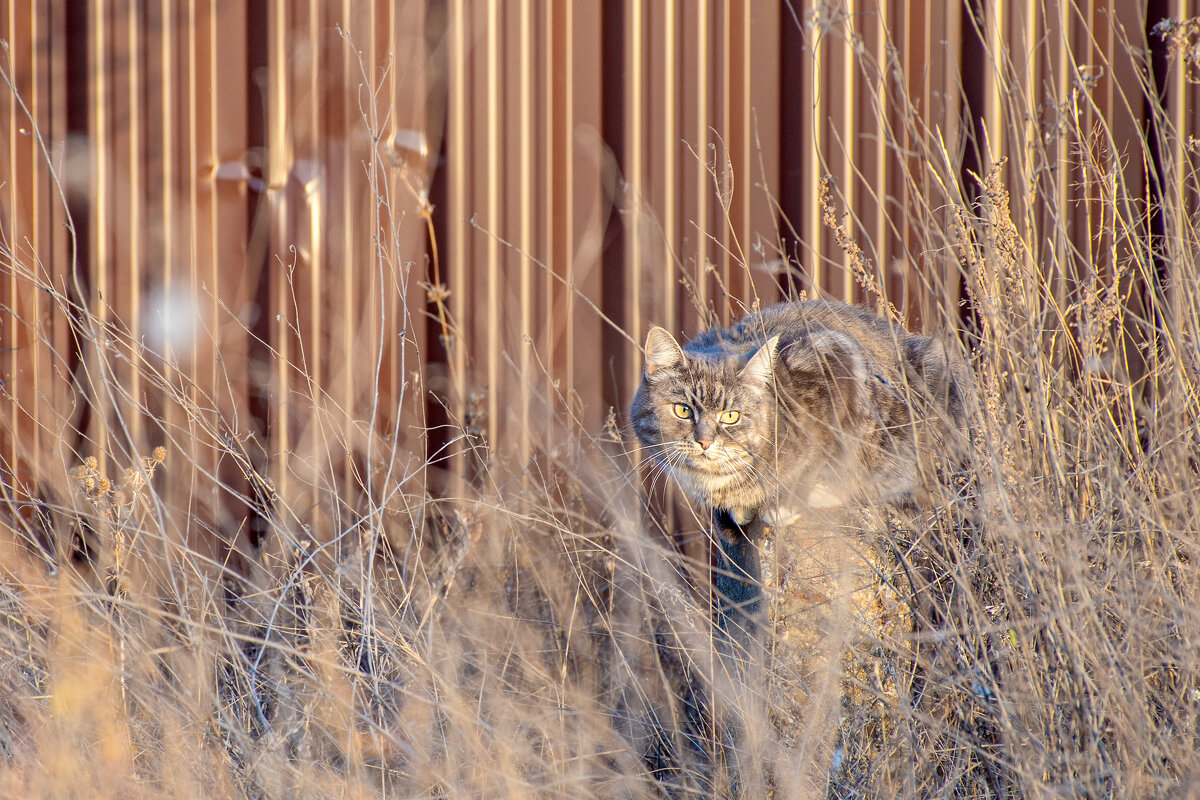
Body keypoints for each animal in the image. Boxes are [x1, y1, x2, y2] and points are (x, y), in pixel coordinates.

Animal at [633, 299, 969, 532]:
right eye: (683, 410)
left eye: (731, 416)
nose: (704, 442)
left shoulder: (834, 359)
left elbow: (818, 459)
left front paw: (788, 502)